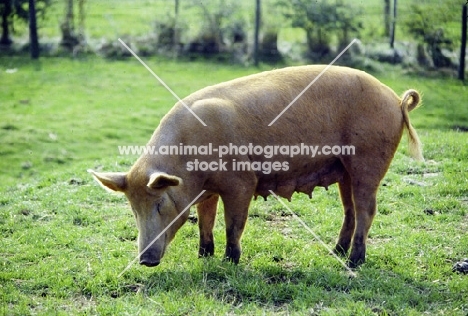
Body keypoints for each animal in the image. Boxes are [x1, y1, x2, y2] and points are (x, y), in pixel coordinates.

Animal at [88, 65, 424, 268]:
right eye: (134, 210)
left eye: (159, 205)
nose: (145, 260)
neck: (188, 169)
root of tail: (395, 99)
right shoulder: (207, 191)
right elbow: (206, 220)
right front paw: (204, 256)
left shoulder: (240, 182)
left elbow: (233, 223)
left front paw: (229, 262)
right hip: (344, 169)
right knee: (350, 209)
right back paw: (335, 252)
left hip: (369, 159)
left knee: (367, 209)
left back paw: (353, 261)